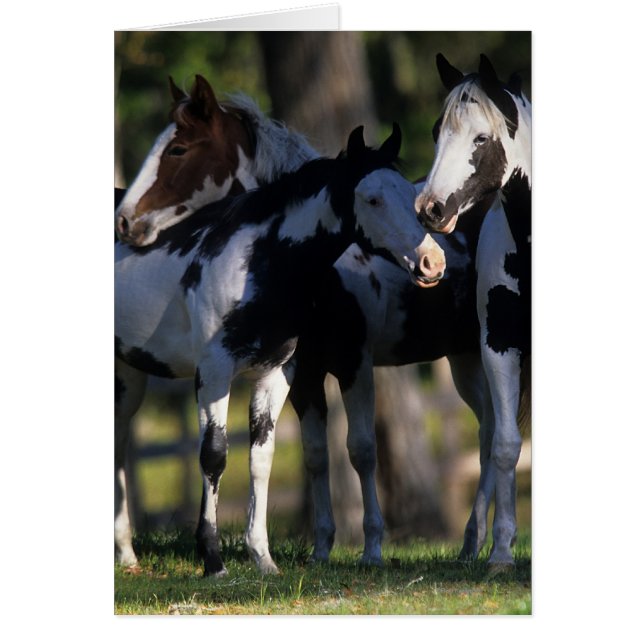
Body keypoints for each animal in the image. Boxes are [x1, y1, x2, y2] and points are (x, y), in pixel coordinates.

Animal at [115, 124, 446, 576]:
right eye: (373, 199)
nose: (433, 262)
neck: (258, 262)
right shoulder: (215, 371)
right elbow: (214, 455)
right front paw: (213, 560)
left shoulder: (276, 374)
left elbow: (262, 457)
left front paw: (263, 558)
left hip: (128, 377)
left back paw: (126, 554)